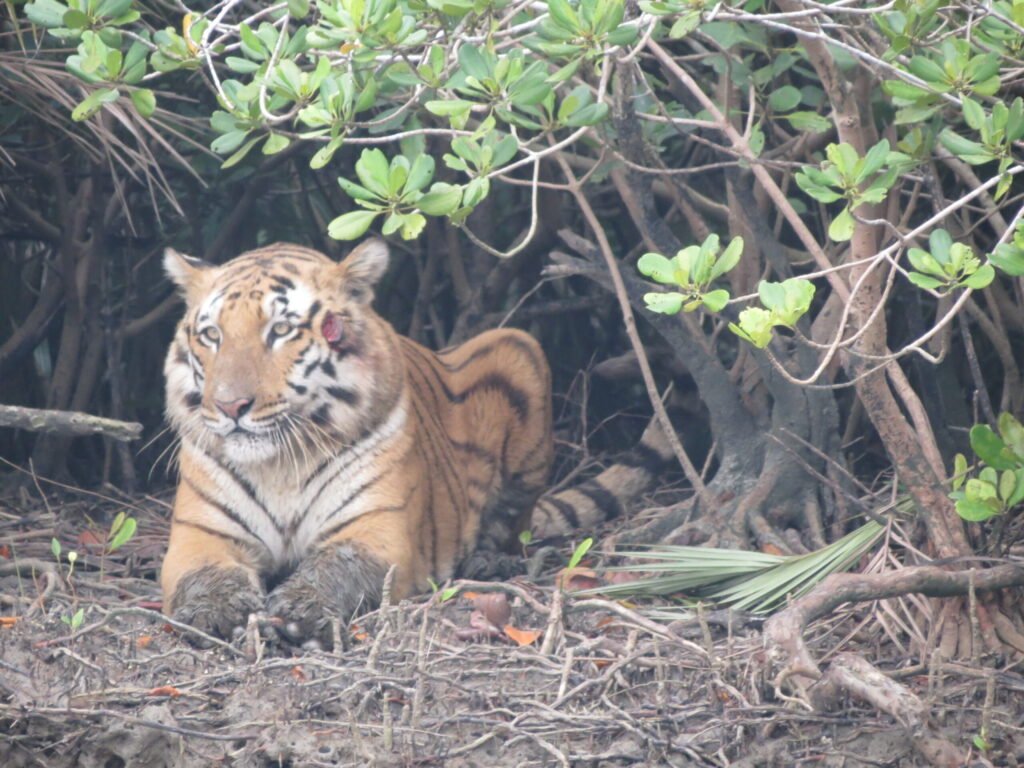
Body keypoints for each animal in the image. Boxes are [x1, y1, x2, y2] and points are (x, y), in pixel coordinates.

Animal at [161, 238, 673, 645]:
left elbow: (340, 564)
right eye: (212, 335)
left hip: (518, 349)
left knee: (513, 522)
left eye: (281, 330)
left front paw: (300, 609)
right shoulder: (199, 534)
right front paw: (213, 613)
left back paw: (487, 563)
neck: (280, 466)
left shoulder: (379, 530)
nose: (230, 406)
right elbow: (203, 573)